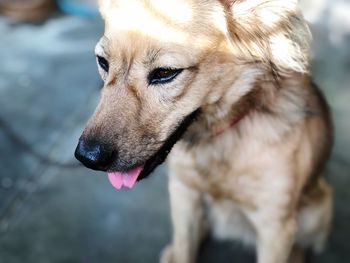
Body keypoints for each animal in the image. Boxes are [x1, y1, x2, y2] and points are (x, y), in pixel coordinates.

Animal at [75, 1, 332, 262]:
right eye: (103, 62)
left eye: (165, 72)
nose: (87, 157)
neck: (217, 137)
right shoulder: (182, 192)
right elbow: (184, 245)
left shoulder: (275, 226)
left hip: (319, 208)